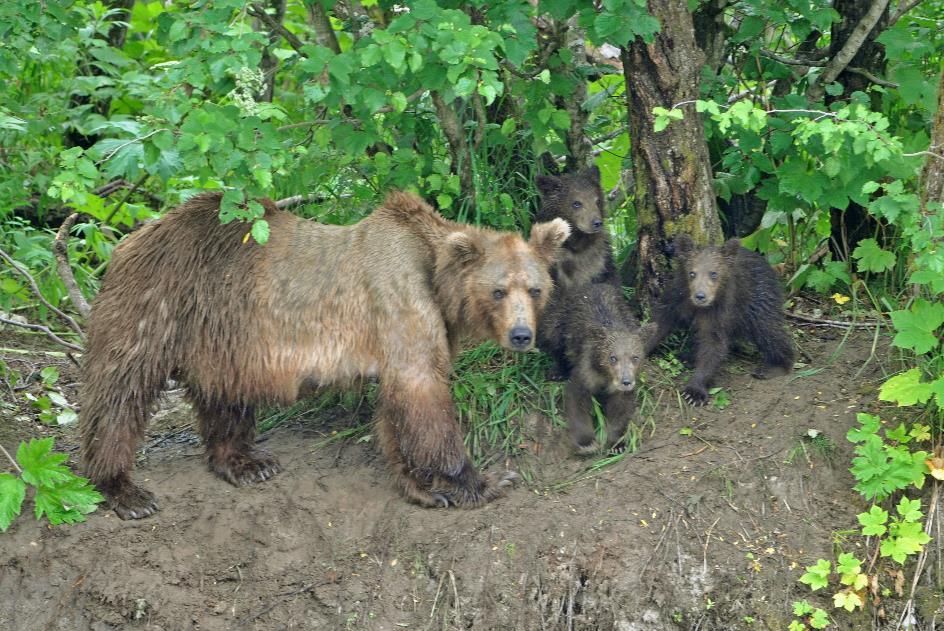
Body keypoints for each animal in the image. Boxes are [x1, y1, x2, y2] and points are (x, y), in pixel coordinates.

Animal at [81, 191, 568, 520]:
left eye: (535, 288)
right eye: (499, 290)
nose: (522, 335)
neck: (437, 280)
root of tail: (130, 238)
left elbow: (397, 407)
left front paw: (422, 487)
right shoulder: (398, 297)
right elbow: (423, 394)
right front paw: (484, 481)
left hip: (221, 338)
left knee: (225, 396)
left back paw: (246, 462)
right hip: (159, 301)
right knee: (121, 391)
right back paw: (123, 489)